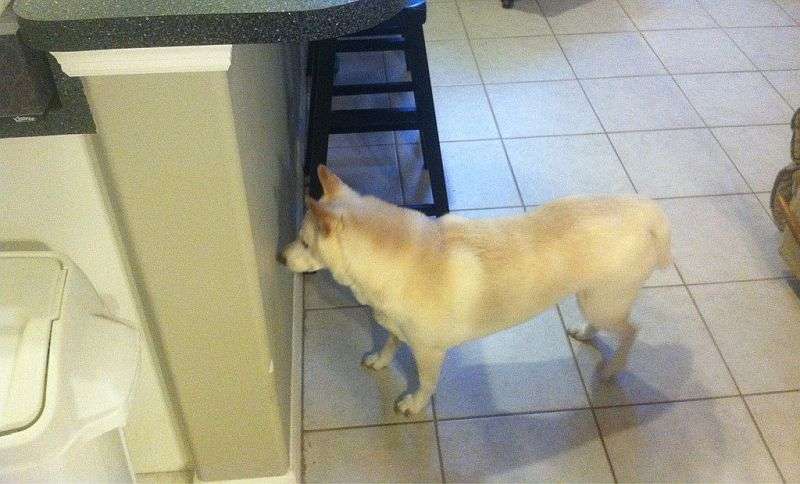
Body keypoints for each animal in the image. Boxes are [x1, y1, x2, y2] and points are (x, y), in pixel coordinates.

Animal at [280, 165, 671, 416]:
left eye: (304, 242)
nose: (279, 258)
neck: (396, 262)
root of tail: (648, 212)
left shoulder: (430, 352)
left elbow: (425, 383)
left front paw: (414, 404)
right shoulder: (393, 324)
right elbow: (390, 340)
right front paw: (380, 359)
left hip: (603, 301)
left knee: (631, 330)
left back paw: (612, 368)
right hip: (593, 298)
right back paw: (587, 333)